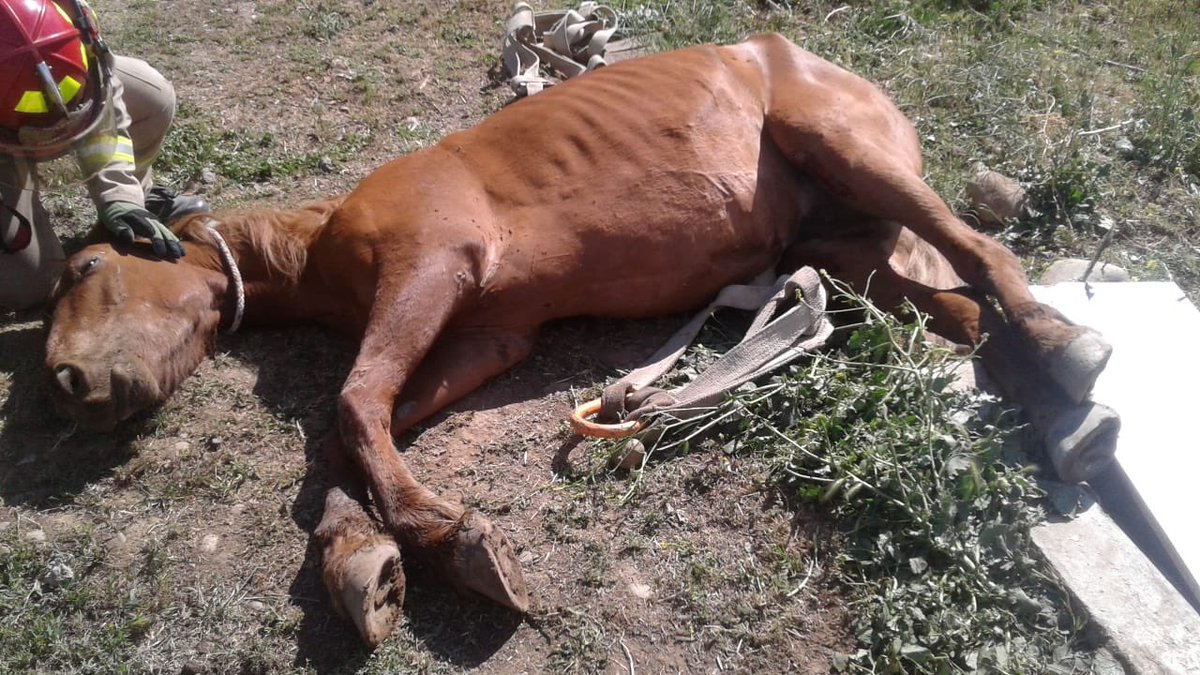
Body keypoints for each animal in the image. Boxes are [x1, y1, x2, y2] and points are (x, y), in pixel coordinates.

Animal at [44, 33, 1118, 647]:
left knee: (982, 250)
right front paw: (379, 555)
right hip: (846, 254)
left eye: (85, 267)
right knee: (965, 317)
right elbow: (358, 429)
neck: (325, 248)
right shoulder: (488, 335)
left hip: (849, 152)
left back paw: (1071, 347)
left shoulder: (432, 264)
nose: (67, 382)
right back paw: (1070, 420)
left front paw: (442, 532)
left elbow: (347, 405)